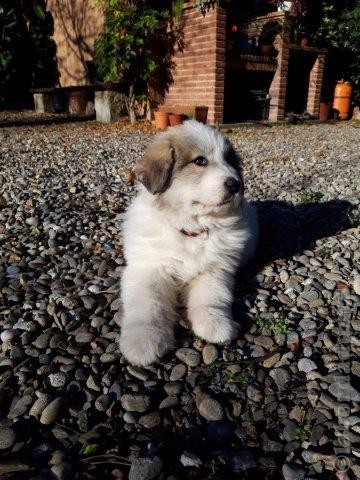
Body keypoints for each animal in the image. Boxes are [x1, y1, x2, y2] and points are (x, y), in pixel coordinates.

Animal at [119, 121, 258, 368]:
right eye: (200, 161)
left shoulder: (214, 269)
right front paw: (144, 340)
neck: (190, 230)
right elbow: (149, 304)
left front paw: (214, 324)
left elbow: (212, 296)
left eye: (230, 161)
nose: (236, 185)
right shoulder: (149, 268)